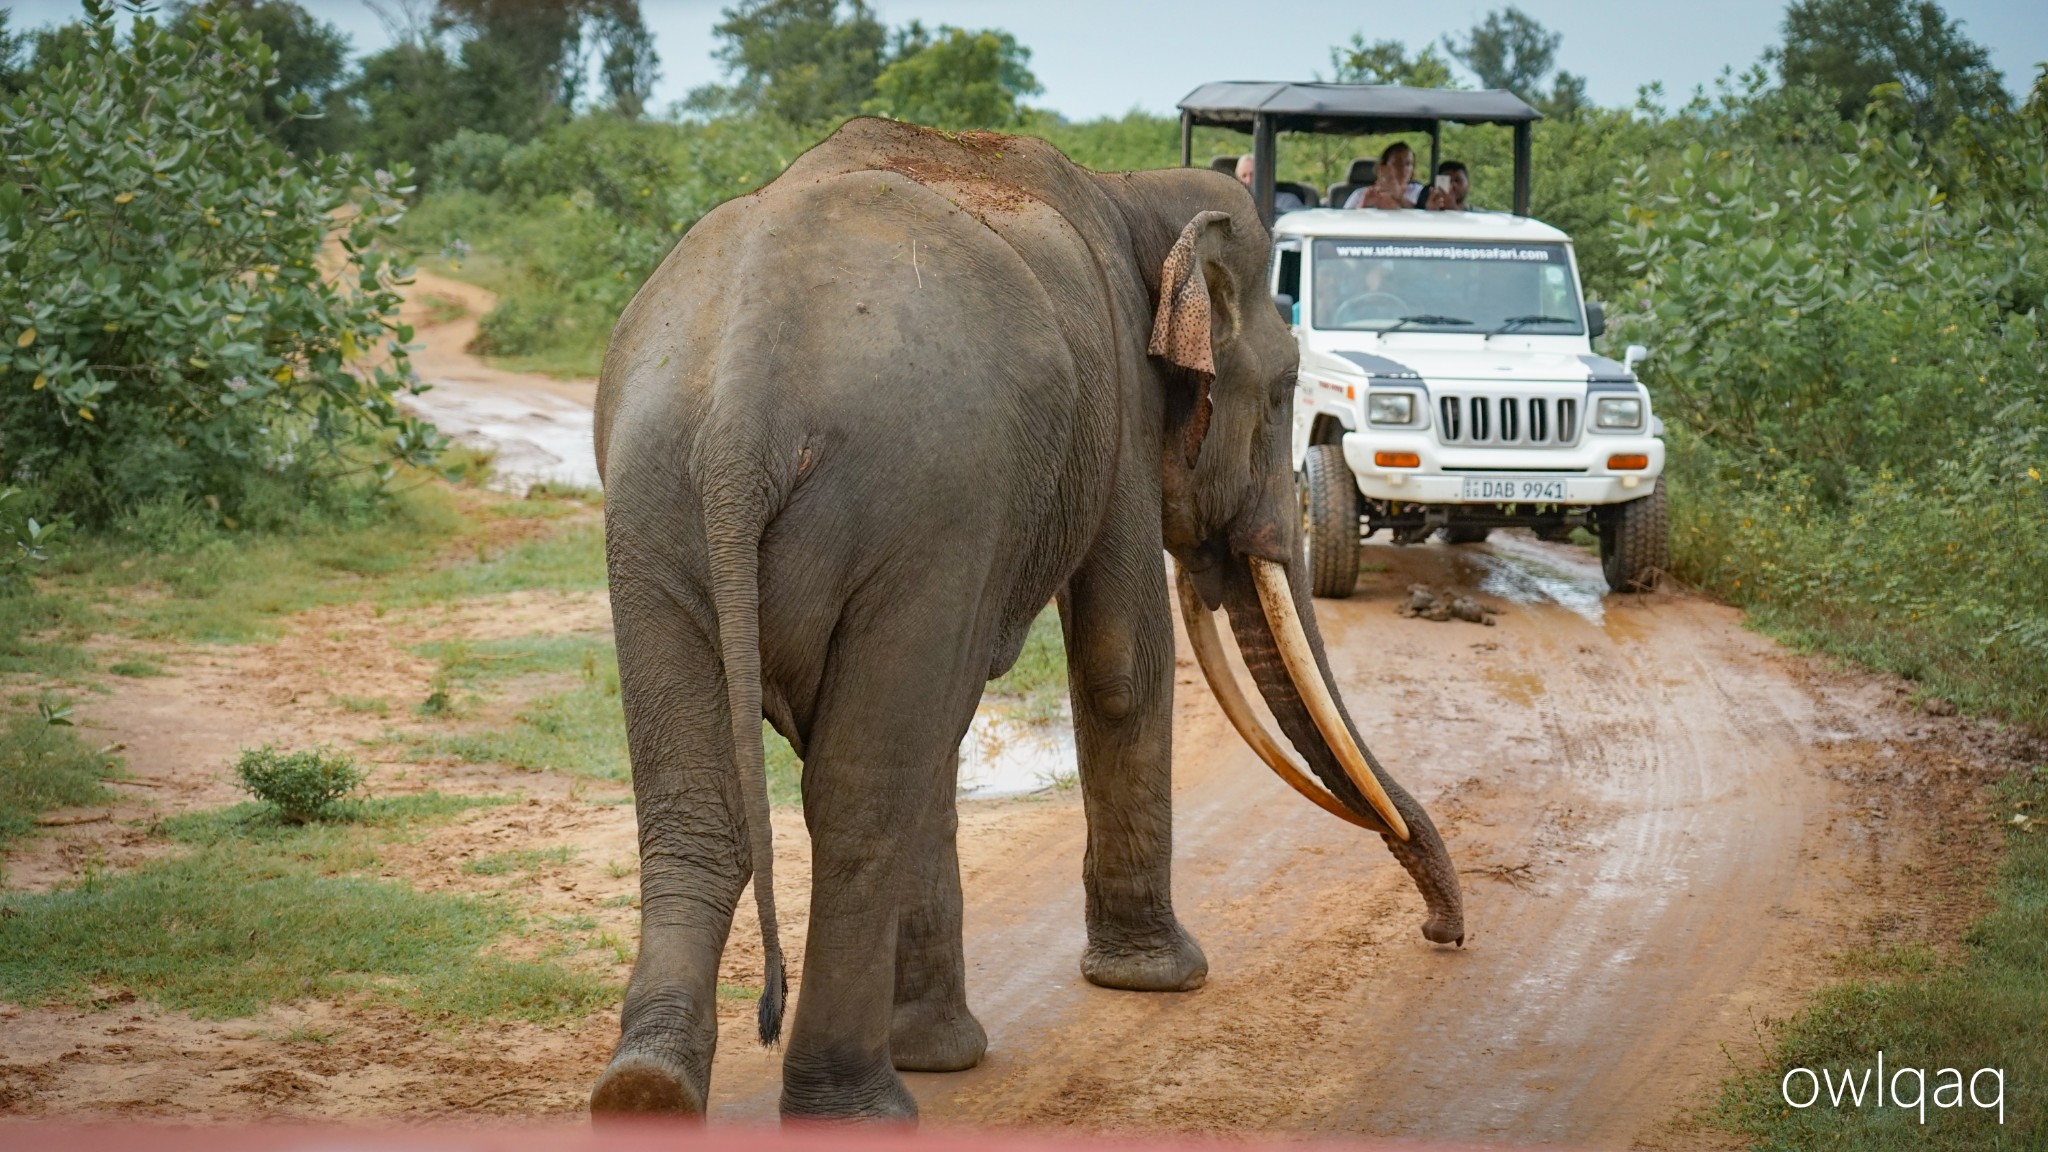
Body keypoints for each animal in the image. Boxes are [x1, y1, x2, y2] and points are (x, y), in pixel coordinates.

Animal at [585, 120, 1466, 1115]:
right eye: (1285, 392)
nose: (1441, 934)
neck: (1130, 190)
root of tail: (743, 411)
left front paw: (945, 1048)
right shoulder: (1121, 396)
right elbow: (1122, 660)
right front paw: (1160, 980)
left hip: (657, 504)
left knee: (704, 803)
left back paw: (649, 1091)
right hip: (923, 502)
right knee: (863, 793)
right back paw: (859, 1108)